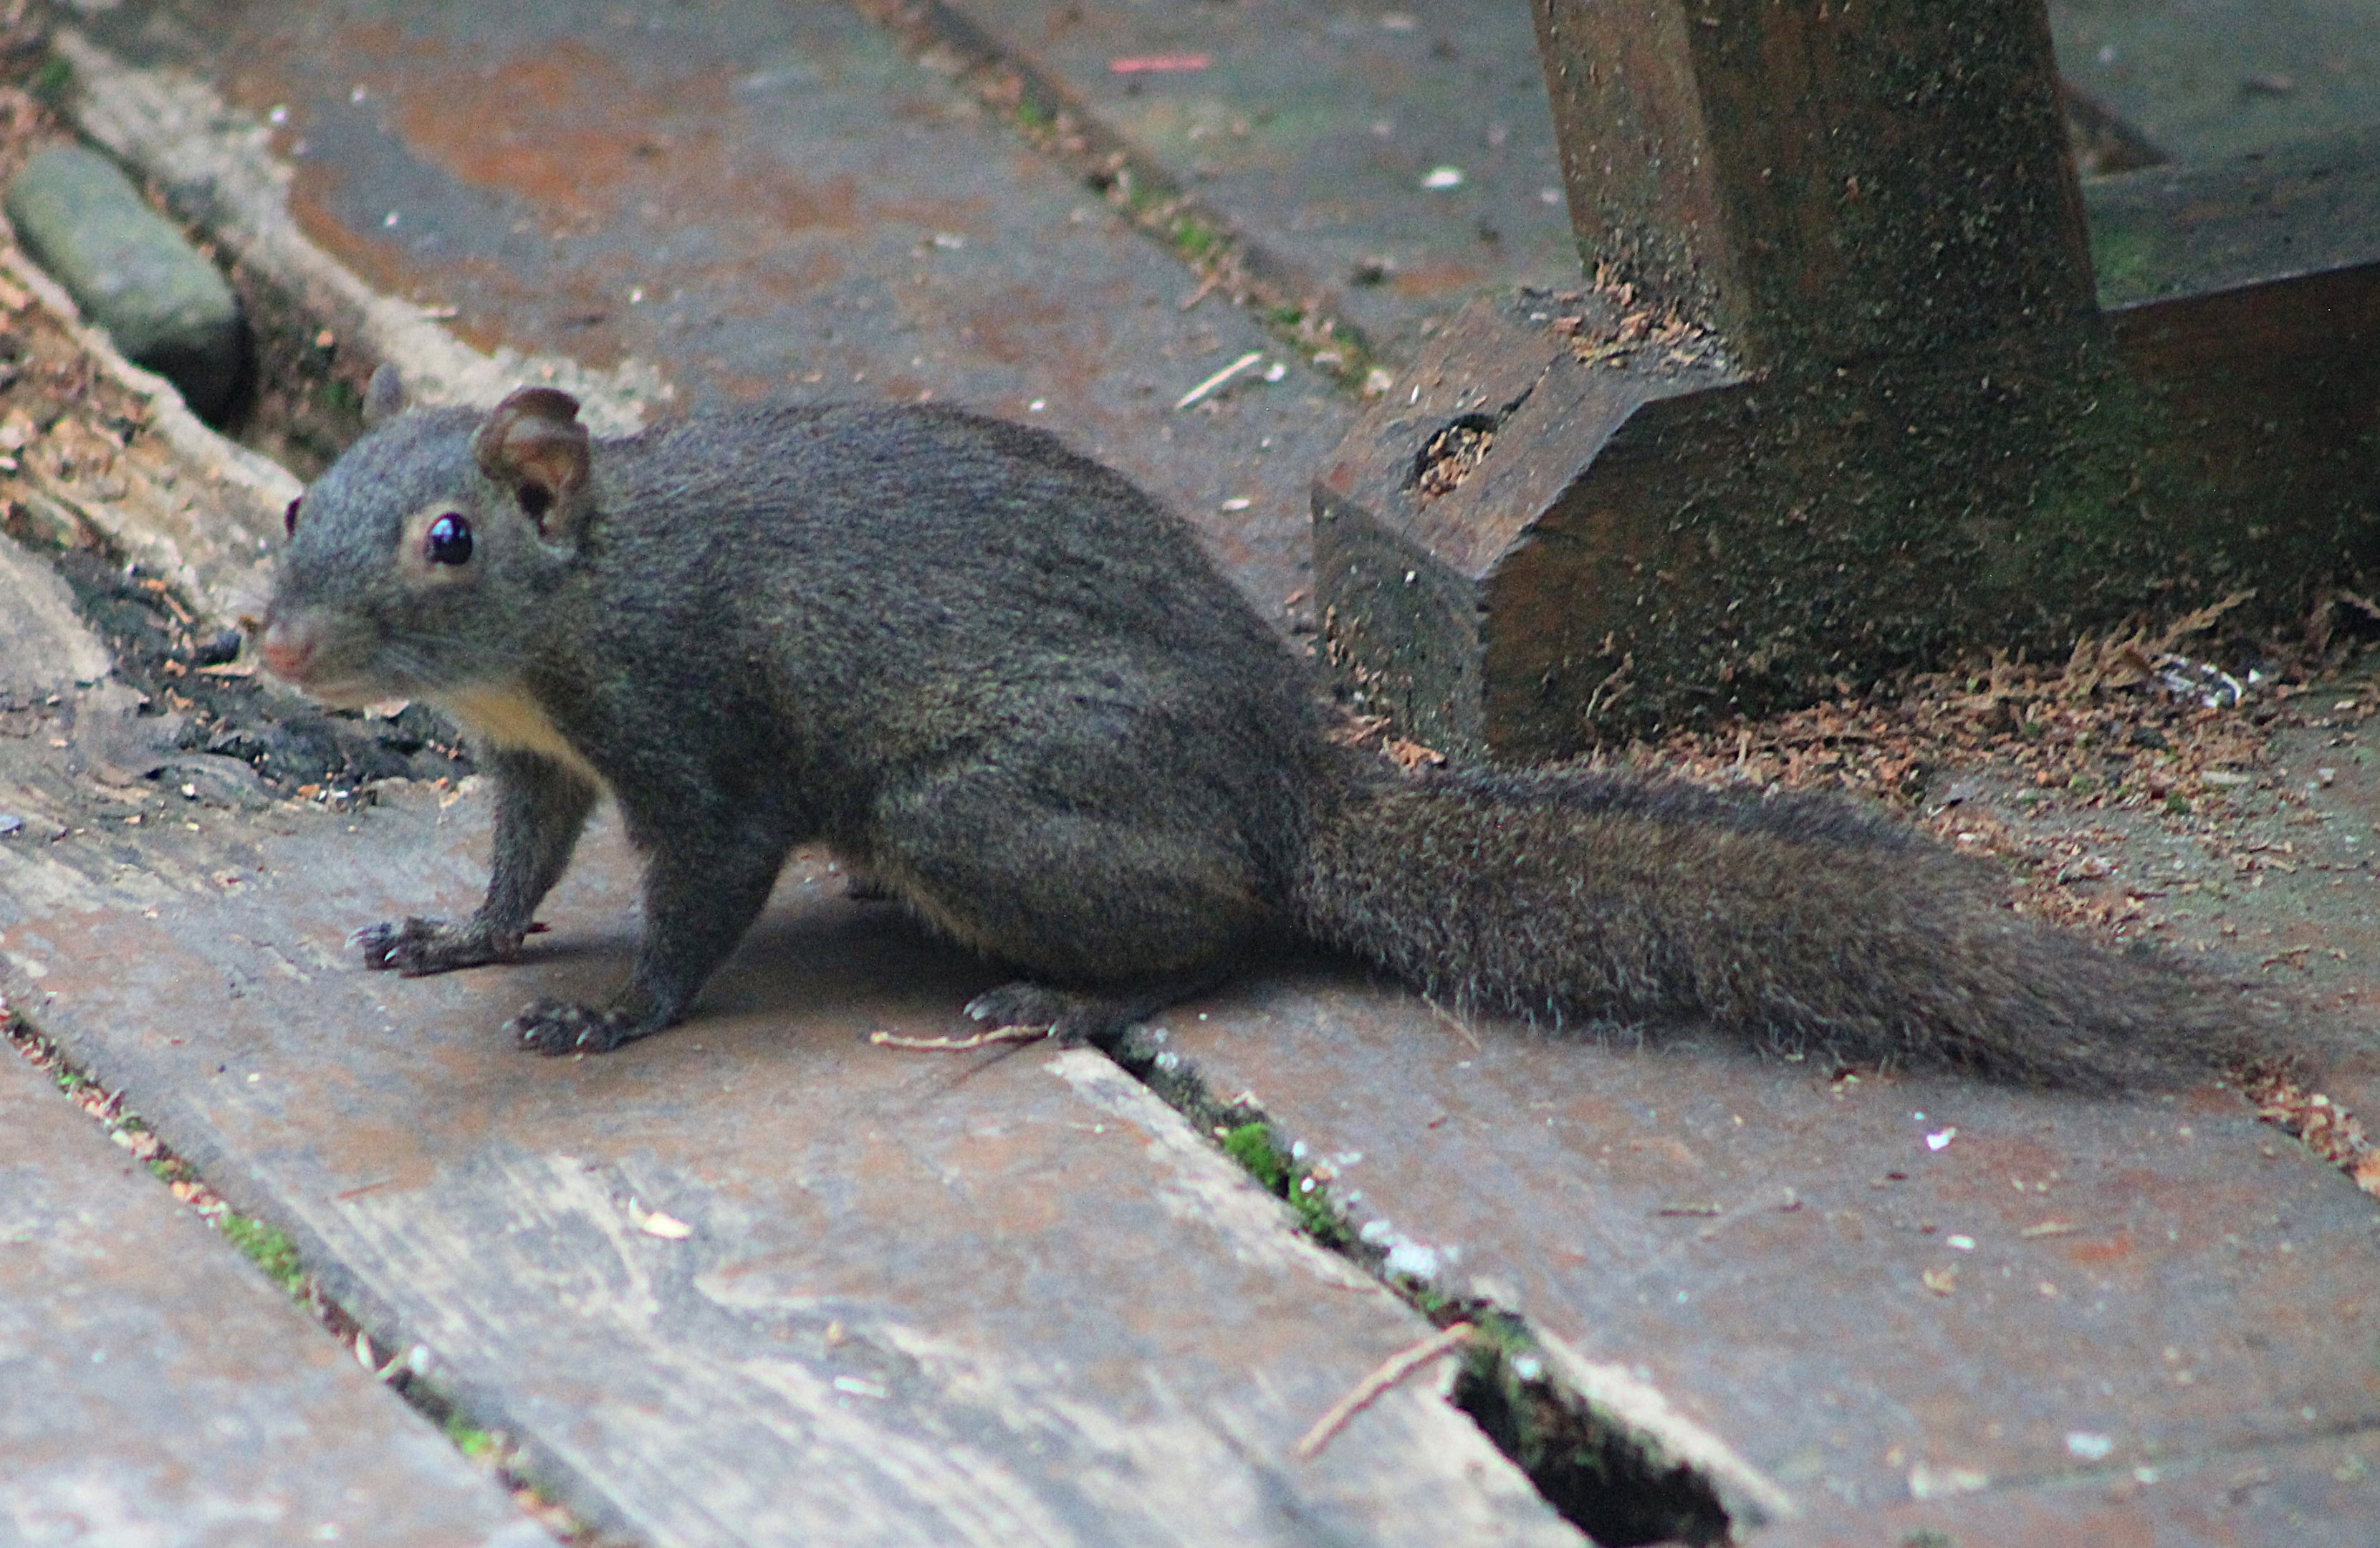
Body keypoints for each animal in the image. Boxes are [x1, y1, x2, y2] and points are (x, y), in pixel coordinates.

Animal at [257, 367, 2294, 1087]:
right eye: (294, 500)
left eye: (447, 538)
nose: (270, 647)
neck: (565, 622)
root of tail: (1286, 785)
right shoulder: (539, 757)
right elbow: (519, 863)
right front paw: (455, 935)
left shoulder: (695, 732)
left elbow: (697, 898)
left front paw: (613, 1012)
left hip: (983, 807)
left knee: (1221, 935)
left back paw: (1066, 997)